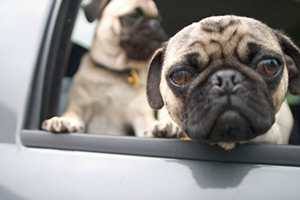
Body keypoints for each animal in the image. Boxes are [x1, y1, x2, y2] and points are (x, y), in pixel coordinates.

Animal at [41, 0, 169, 136]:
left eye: (159, 20)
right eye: (133, 16)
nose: (155, 24)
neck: (115, 72)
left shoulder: (140, 116)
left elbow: (149, 126)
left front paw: (162, 126)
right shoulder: (79, 107)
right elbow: (72, 114)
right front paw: (62, 121)